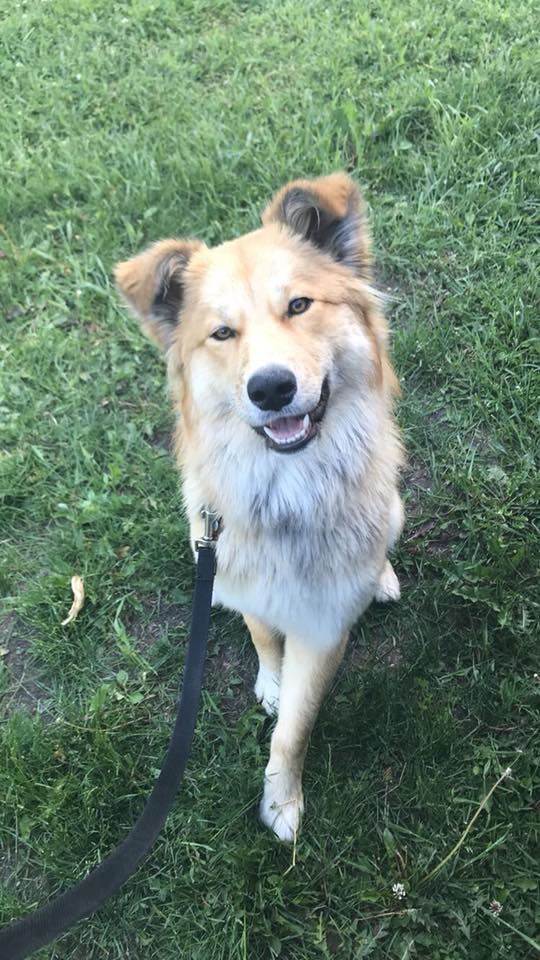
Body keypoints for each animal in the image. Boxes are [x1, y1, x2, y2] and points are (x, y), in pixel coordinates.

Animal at [115, 173, 404, 841]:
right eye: (222, 333)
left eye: (298, 305)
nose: (270, 388)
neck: (286, 489)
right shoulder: (228, 565)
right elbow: (261, 634)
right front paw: (270, 681)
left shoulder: (323, 627)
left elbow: (294, 730)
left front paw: (281, 801)